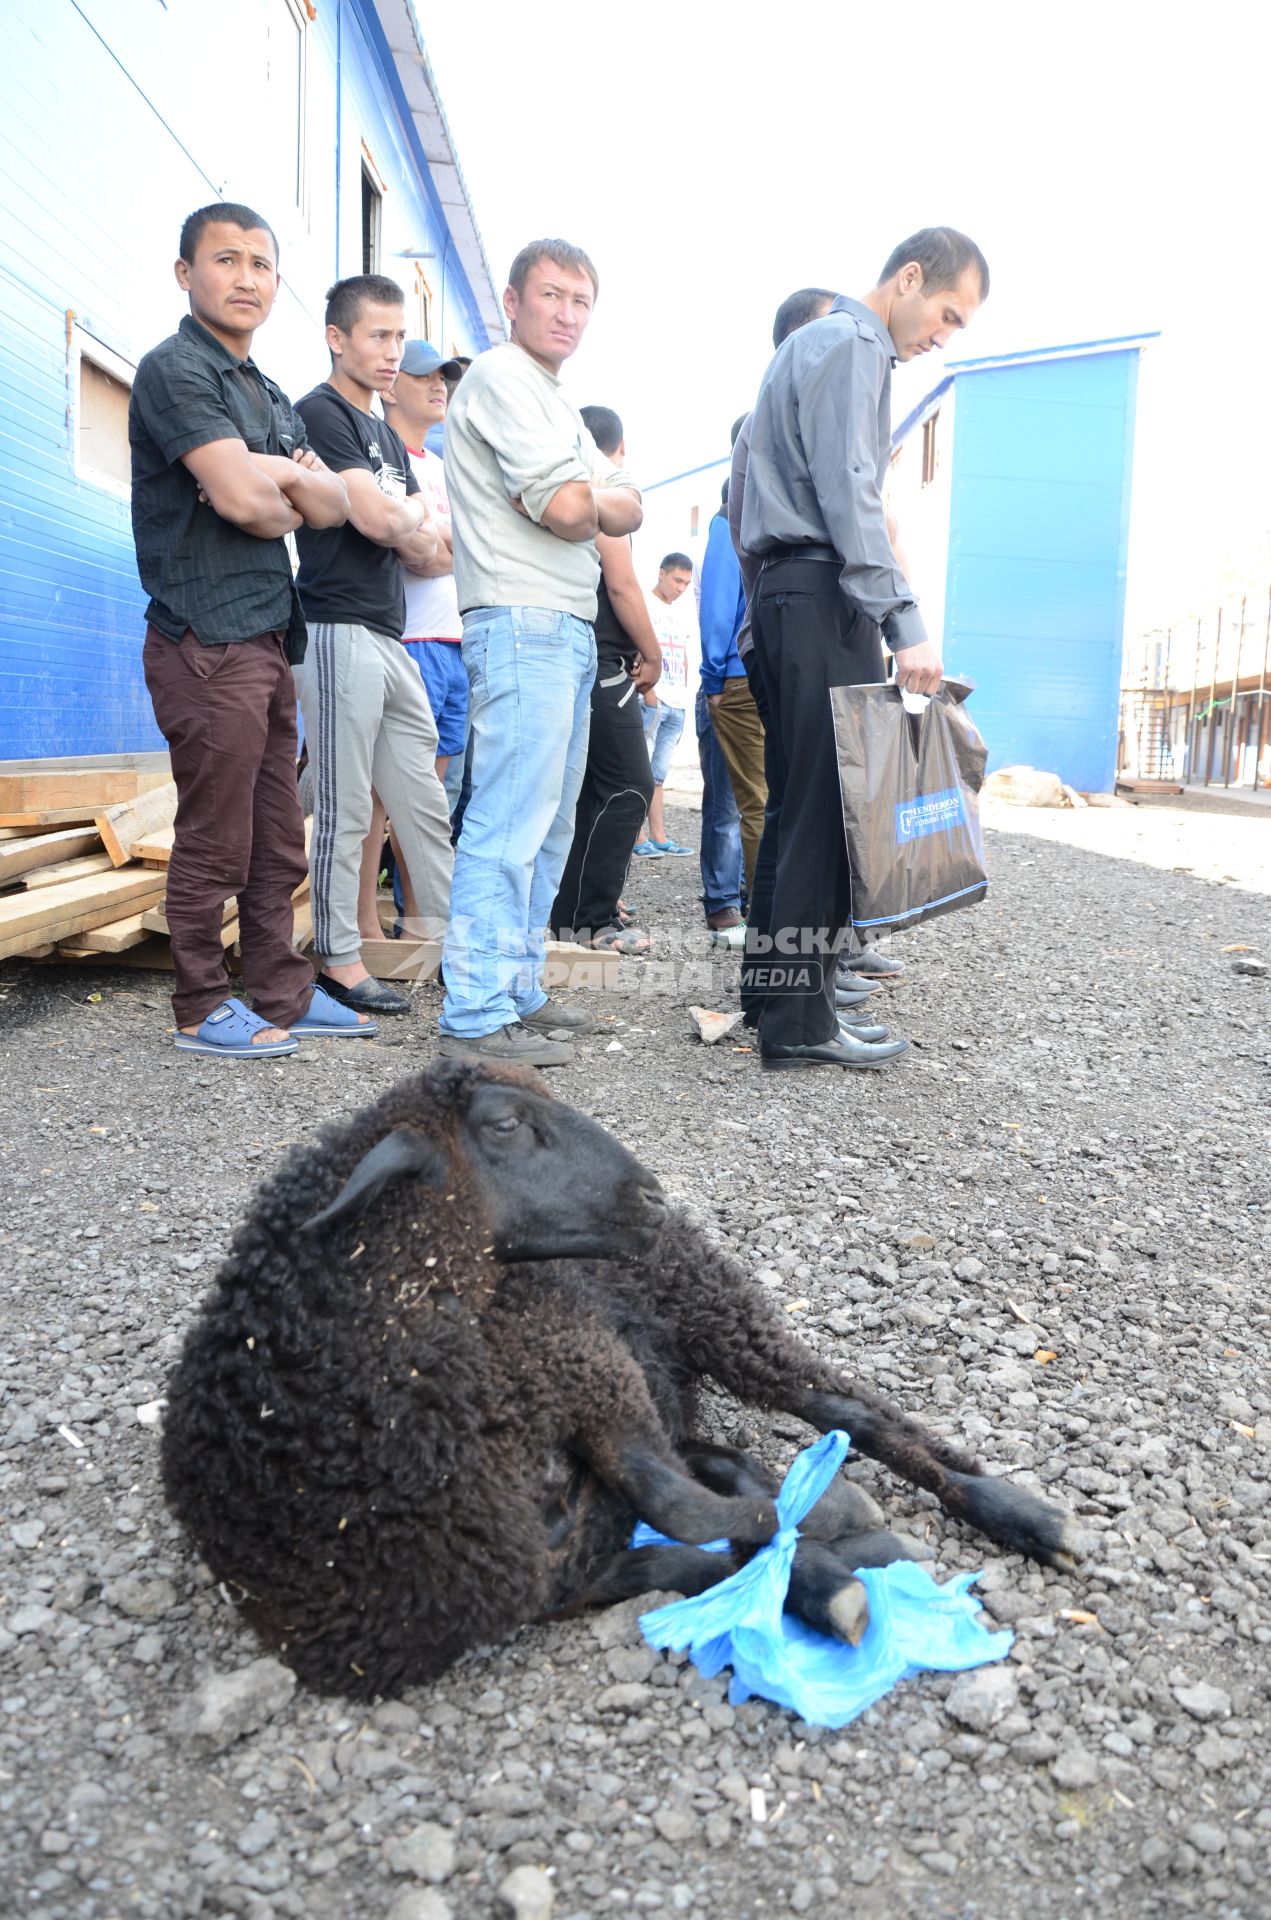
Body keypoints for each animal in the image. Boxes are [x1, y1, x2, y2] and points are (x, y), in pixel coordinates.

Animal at [164, 1059, 1090, 1704]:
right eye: (504, 1125)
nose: (650, 1196)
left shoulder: (579, 1355)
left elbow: (675, 1502)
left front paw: (821, 1533)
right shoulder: (541, 1580)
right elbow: (693, 1556)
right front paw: (825, 1578)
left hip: (711, 1310)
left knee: (848, 1409)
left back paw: (1018, 1515)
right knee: (711, 1452)